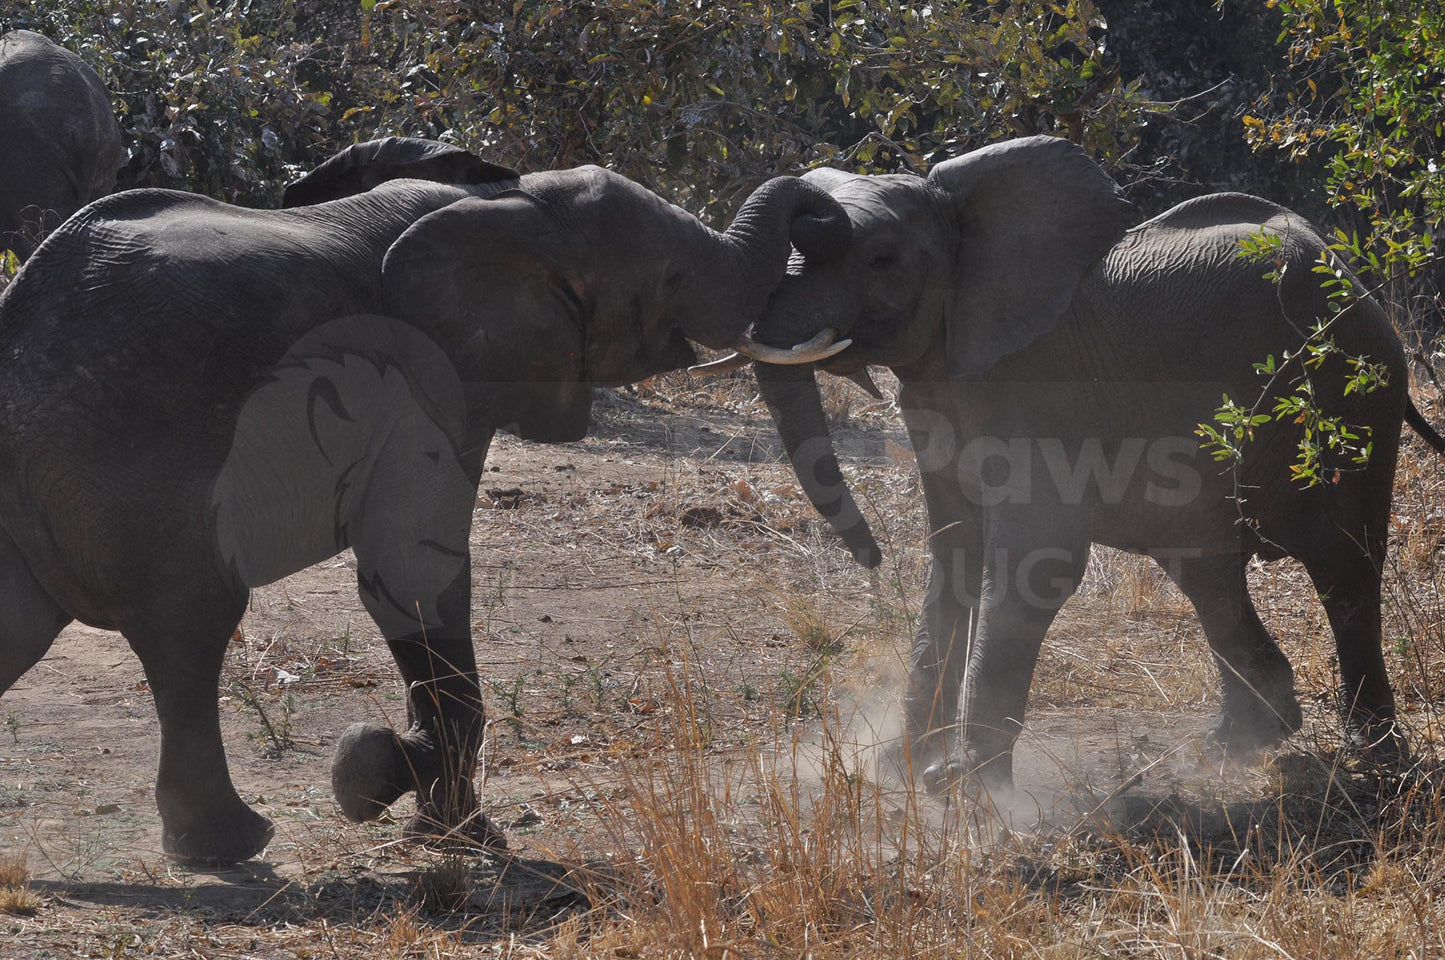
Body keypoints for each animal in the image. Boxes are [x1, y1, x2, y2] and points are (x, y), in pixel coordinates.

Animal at [0, 136, 843, 861]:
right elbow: (412, 571)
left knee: (31, 629)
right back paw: (229, 847)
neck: (511, 203)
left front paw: (421, 807)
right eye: (667, 278)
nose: (826, 216)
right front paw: (416, 805)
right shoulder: (427, 383)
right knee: (192, 627)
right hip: (137, 466)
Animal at [722, 135, 1445, 792]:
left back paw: (1371, 754)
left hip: (1349, 393)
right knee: (1205, 568)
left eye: (880, 259)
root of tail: (1349, 275)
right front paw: (895, 771)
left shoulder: (1037, 395)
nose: (868, 558)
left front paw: (964, 787)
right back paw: (1231, 745)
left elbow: (1035, 567)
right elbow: (951, 557)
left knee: (1341, 565)